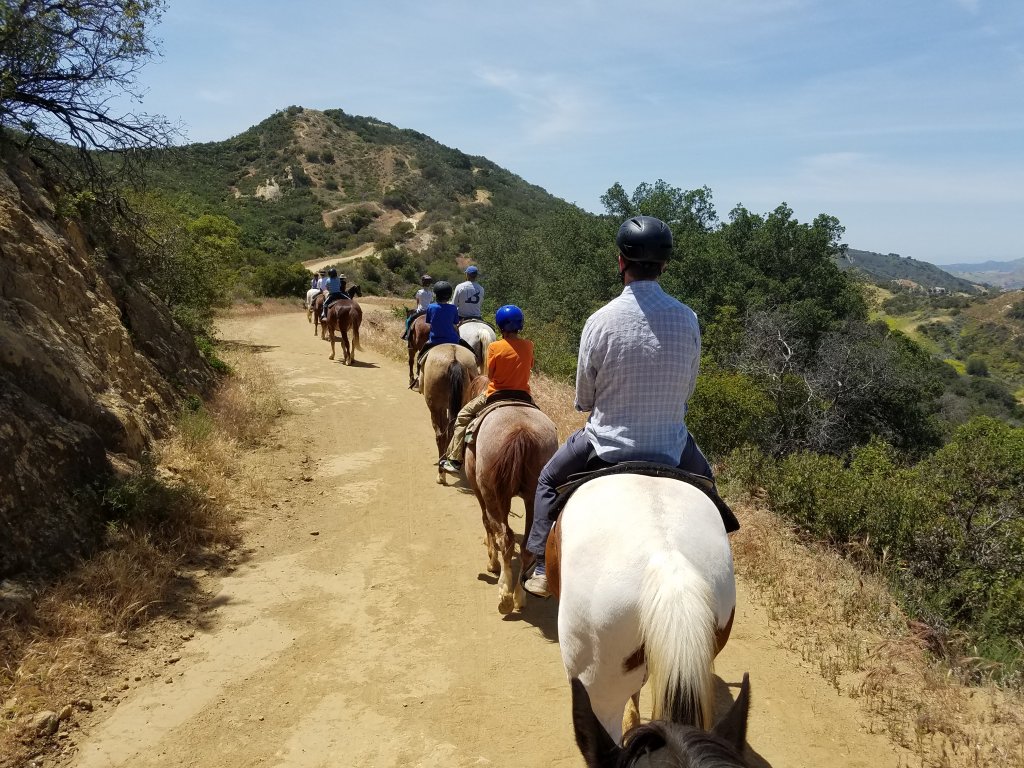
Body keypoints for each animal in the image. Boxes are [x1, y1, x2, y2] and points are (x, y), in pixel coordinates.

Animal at [417, 344, 477, 483]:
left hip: (436, 406)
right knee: (453, 431)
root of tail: (453, 358)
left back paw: (441, 474)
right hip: (462, 402)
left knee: (441, 435)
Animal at [466, 393, 557, 618]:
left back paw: (505, 594)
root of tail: (521, 430)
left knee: (504, 538)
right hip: (535, 496)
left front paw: (492, 562)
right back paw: (519, 596)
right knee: (525, 546)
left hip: (492, 494)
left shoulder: (479, 490)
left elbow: (487, 523)